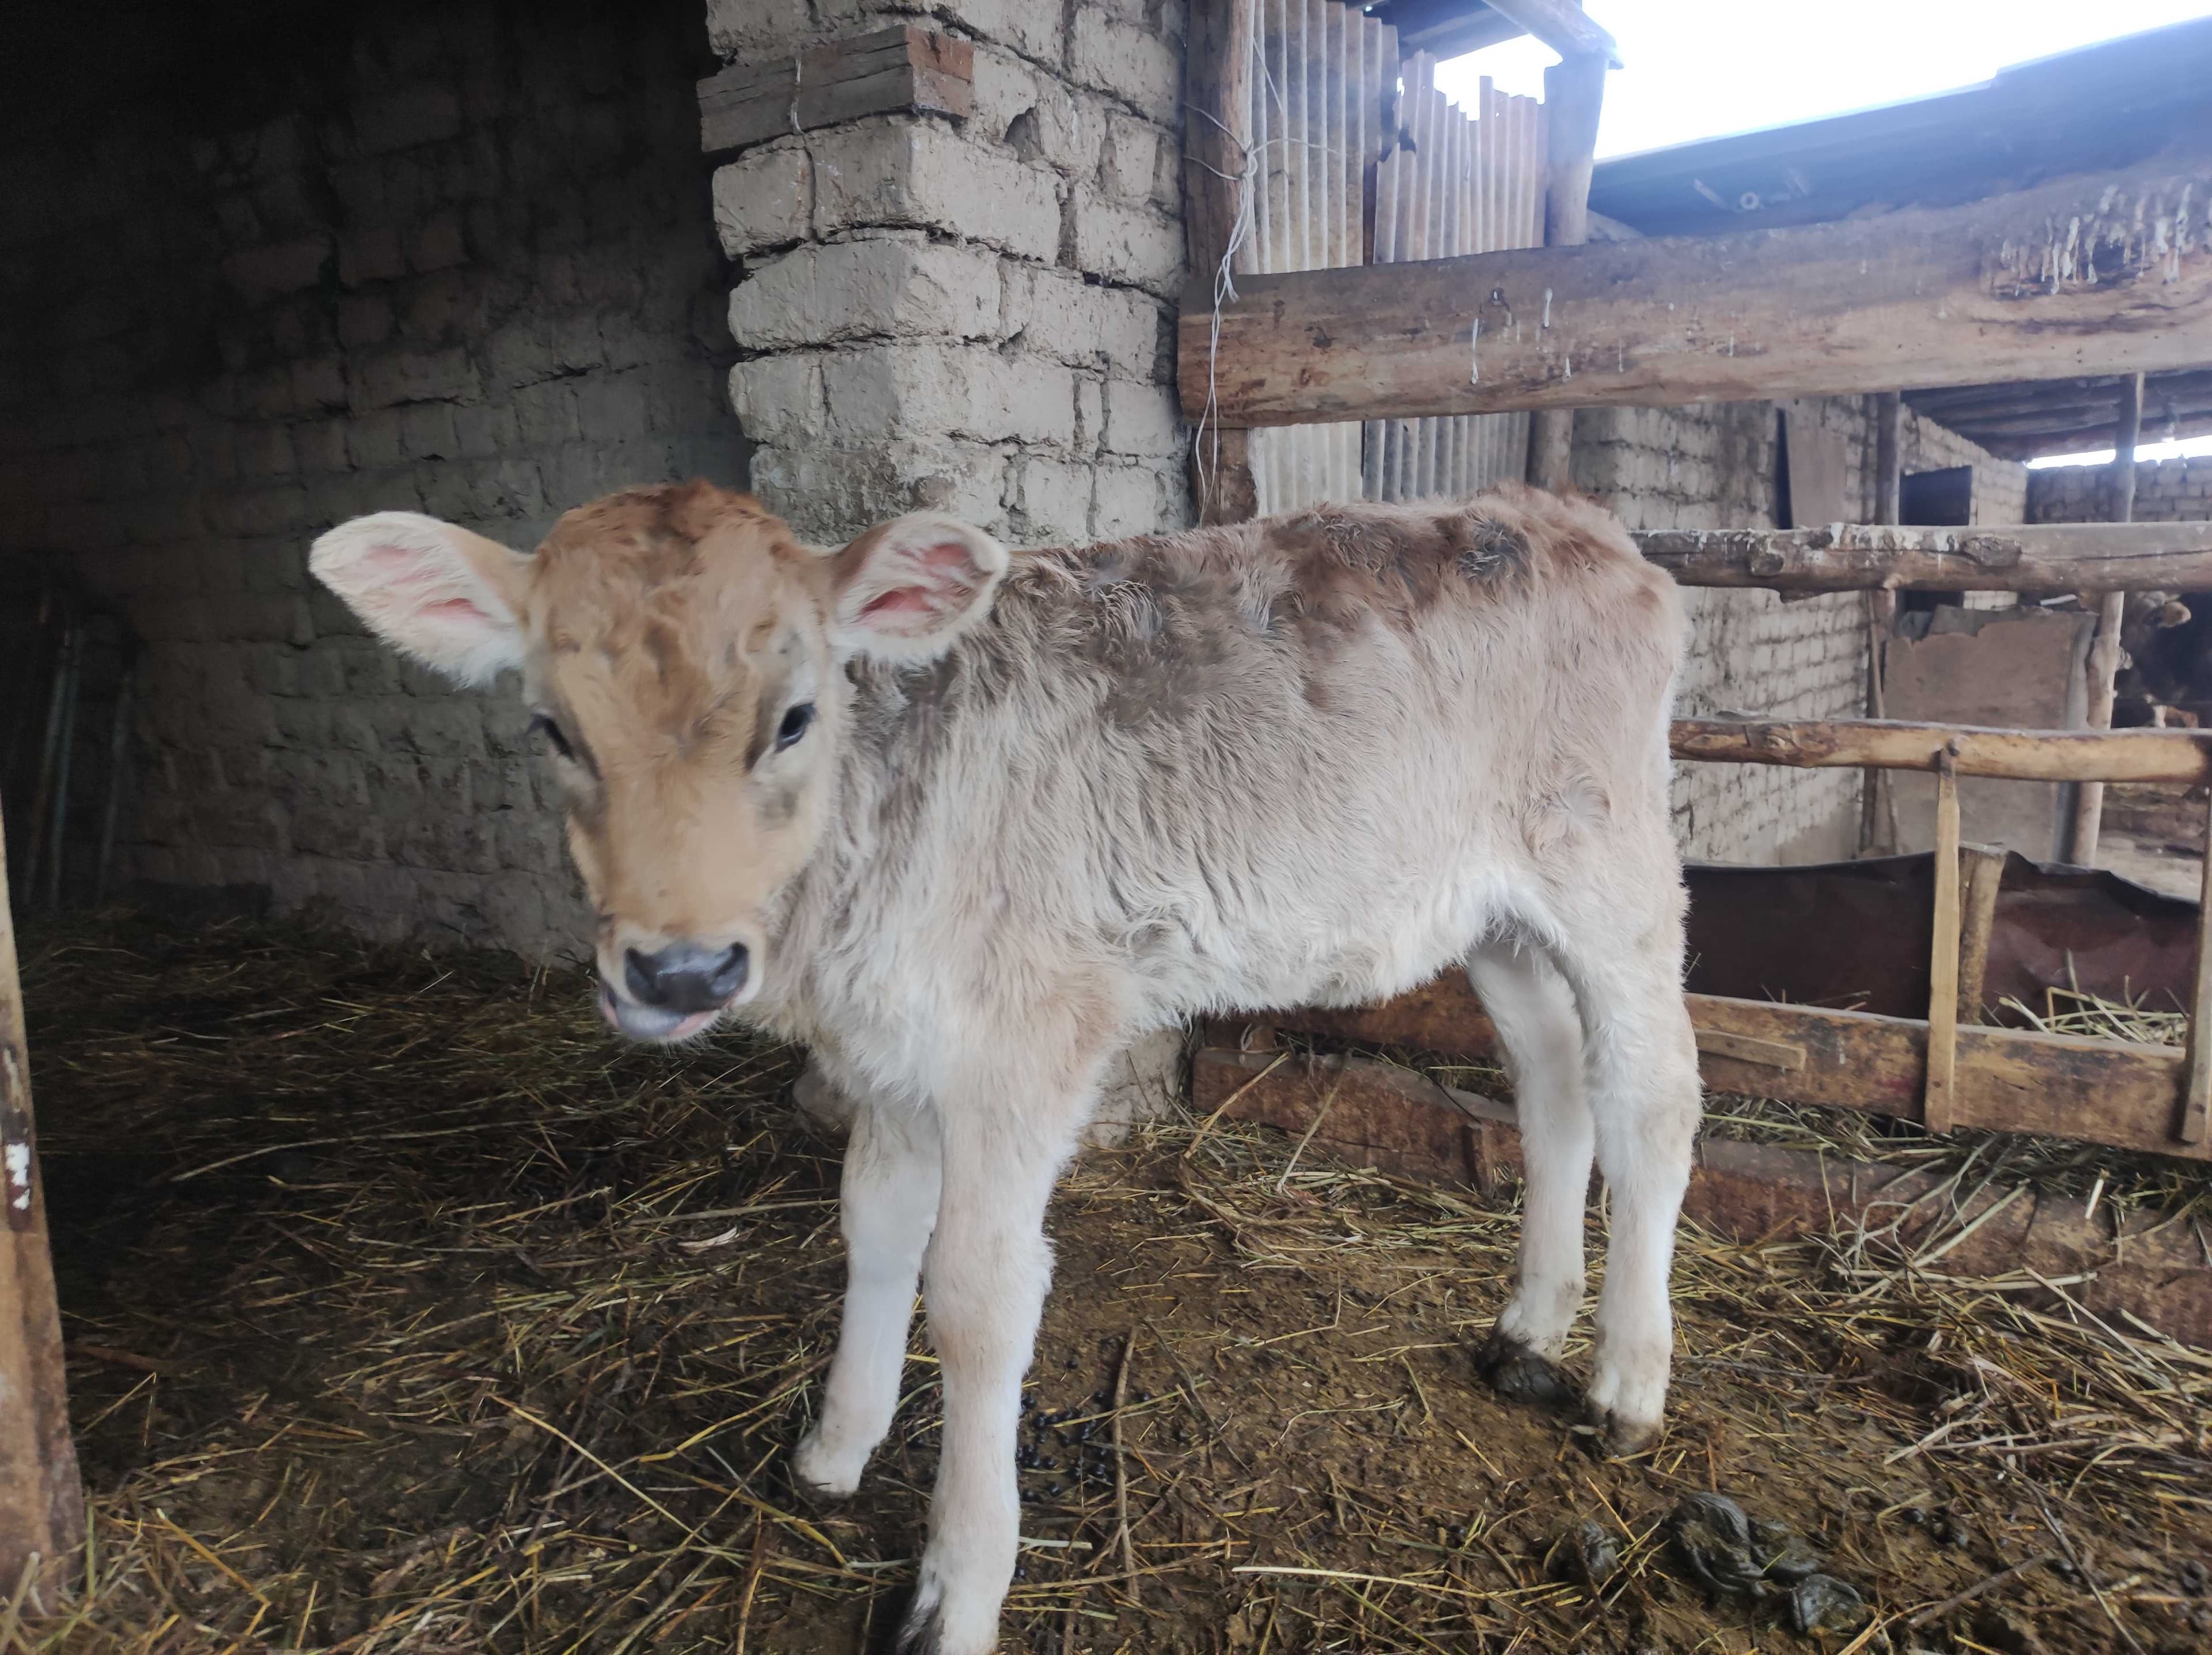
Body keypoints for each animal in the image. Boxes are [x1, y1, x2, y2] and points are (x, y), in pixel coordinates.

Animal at [309, 480, 1702, 1655]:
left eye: (795, 717)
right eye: (553, 728)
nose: (682, 969)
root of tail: (1581, 523)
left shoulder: (1028, 1036)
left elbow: (978, 1296)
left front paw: (959, 1583)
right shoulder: (891, 1048)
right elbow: (871, 1226)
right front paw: (836, 1444)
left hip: (1612, 867)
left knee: (1653, 1095)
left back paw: (1626, 1381)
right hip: (1492, 911)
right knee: (1551, 1070)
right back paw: (1531, 1318)